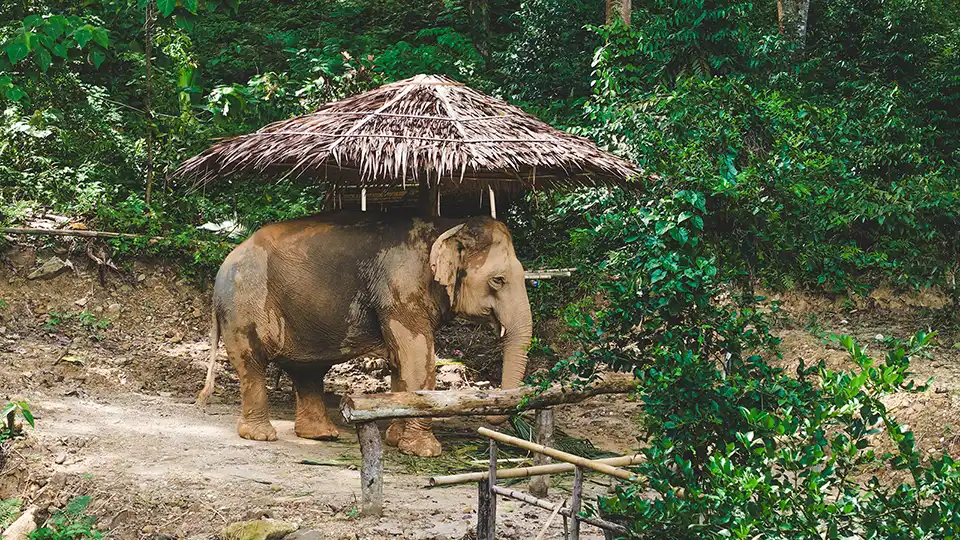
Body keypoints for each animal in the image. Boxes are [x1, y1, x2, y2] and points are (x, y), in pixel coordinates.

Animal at [196, 211, 533, 457]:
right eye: (499, 280)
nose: (492, 421)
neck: (449, 224)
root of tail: (221, 271)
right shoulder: (399, 288)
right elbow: (417, 357)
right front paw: (424, 452)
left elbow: (401, 360)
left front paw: (396, 440)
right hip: (244, 305)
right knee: (252, 361)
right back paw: (261, 435)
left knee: (306, 369)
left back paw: (322, 435)